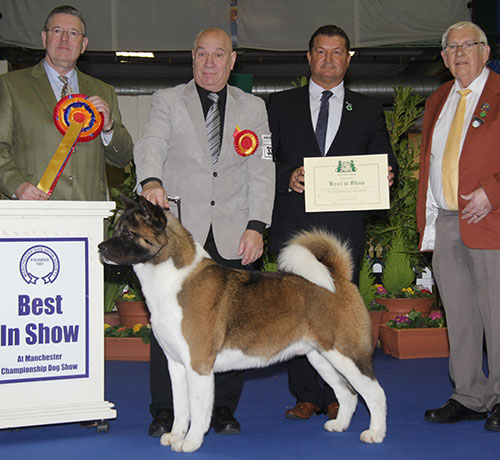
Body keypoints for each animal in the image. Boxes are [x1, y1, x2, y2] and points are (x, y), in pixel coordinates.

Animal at [97, 196, 386, 452]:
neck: (174, 280)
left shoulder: (198, 365)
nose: (100, 248)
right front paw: (175, 435)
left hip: (347, 354)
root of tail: (337, 277)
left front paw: (190, 442)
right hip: (321, 357)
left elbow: (198, 410)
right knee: (348, 393)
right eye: (117, 227)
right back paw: (339, 425)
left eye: (128, 232)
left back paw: (375, 433)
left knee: (374, 393)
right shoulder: (176, 365)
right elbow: (181, 408)